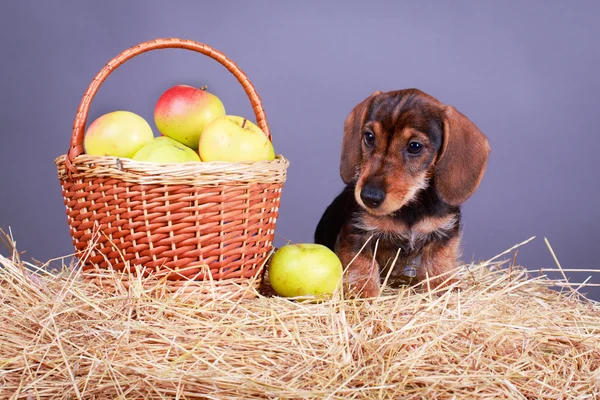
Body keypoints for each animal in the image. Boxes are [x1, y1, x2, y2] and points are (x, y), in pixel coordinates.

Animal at [312, 90, 490, 296]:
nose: (369, 197)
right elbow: (362, 265)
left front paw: (444, 286)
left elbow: (439, 262)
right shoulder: (357, 233)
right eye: (369, 136)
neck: (409, 208)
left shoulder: (444, 231)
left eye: (414, 146)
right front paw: (363, 292)